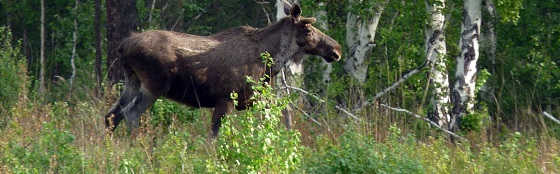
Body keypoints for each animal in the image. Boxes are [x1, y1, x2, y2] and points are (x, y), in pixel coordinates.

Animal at [104, 3, 342, 137]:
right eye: (308, 29)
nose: (336, 49)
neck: (271, 61)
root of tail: (122, 46)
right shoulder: (226, 99)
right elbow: (215, 136)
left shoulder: (250, 100)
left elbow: (278, 116)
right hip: (154, 85)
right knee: (130, 114)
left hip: (132, 81)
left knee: (111, 115)